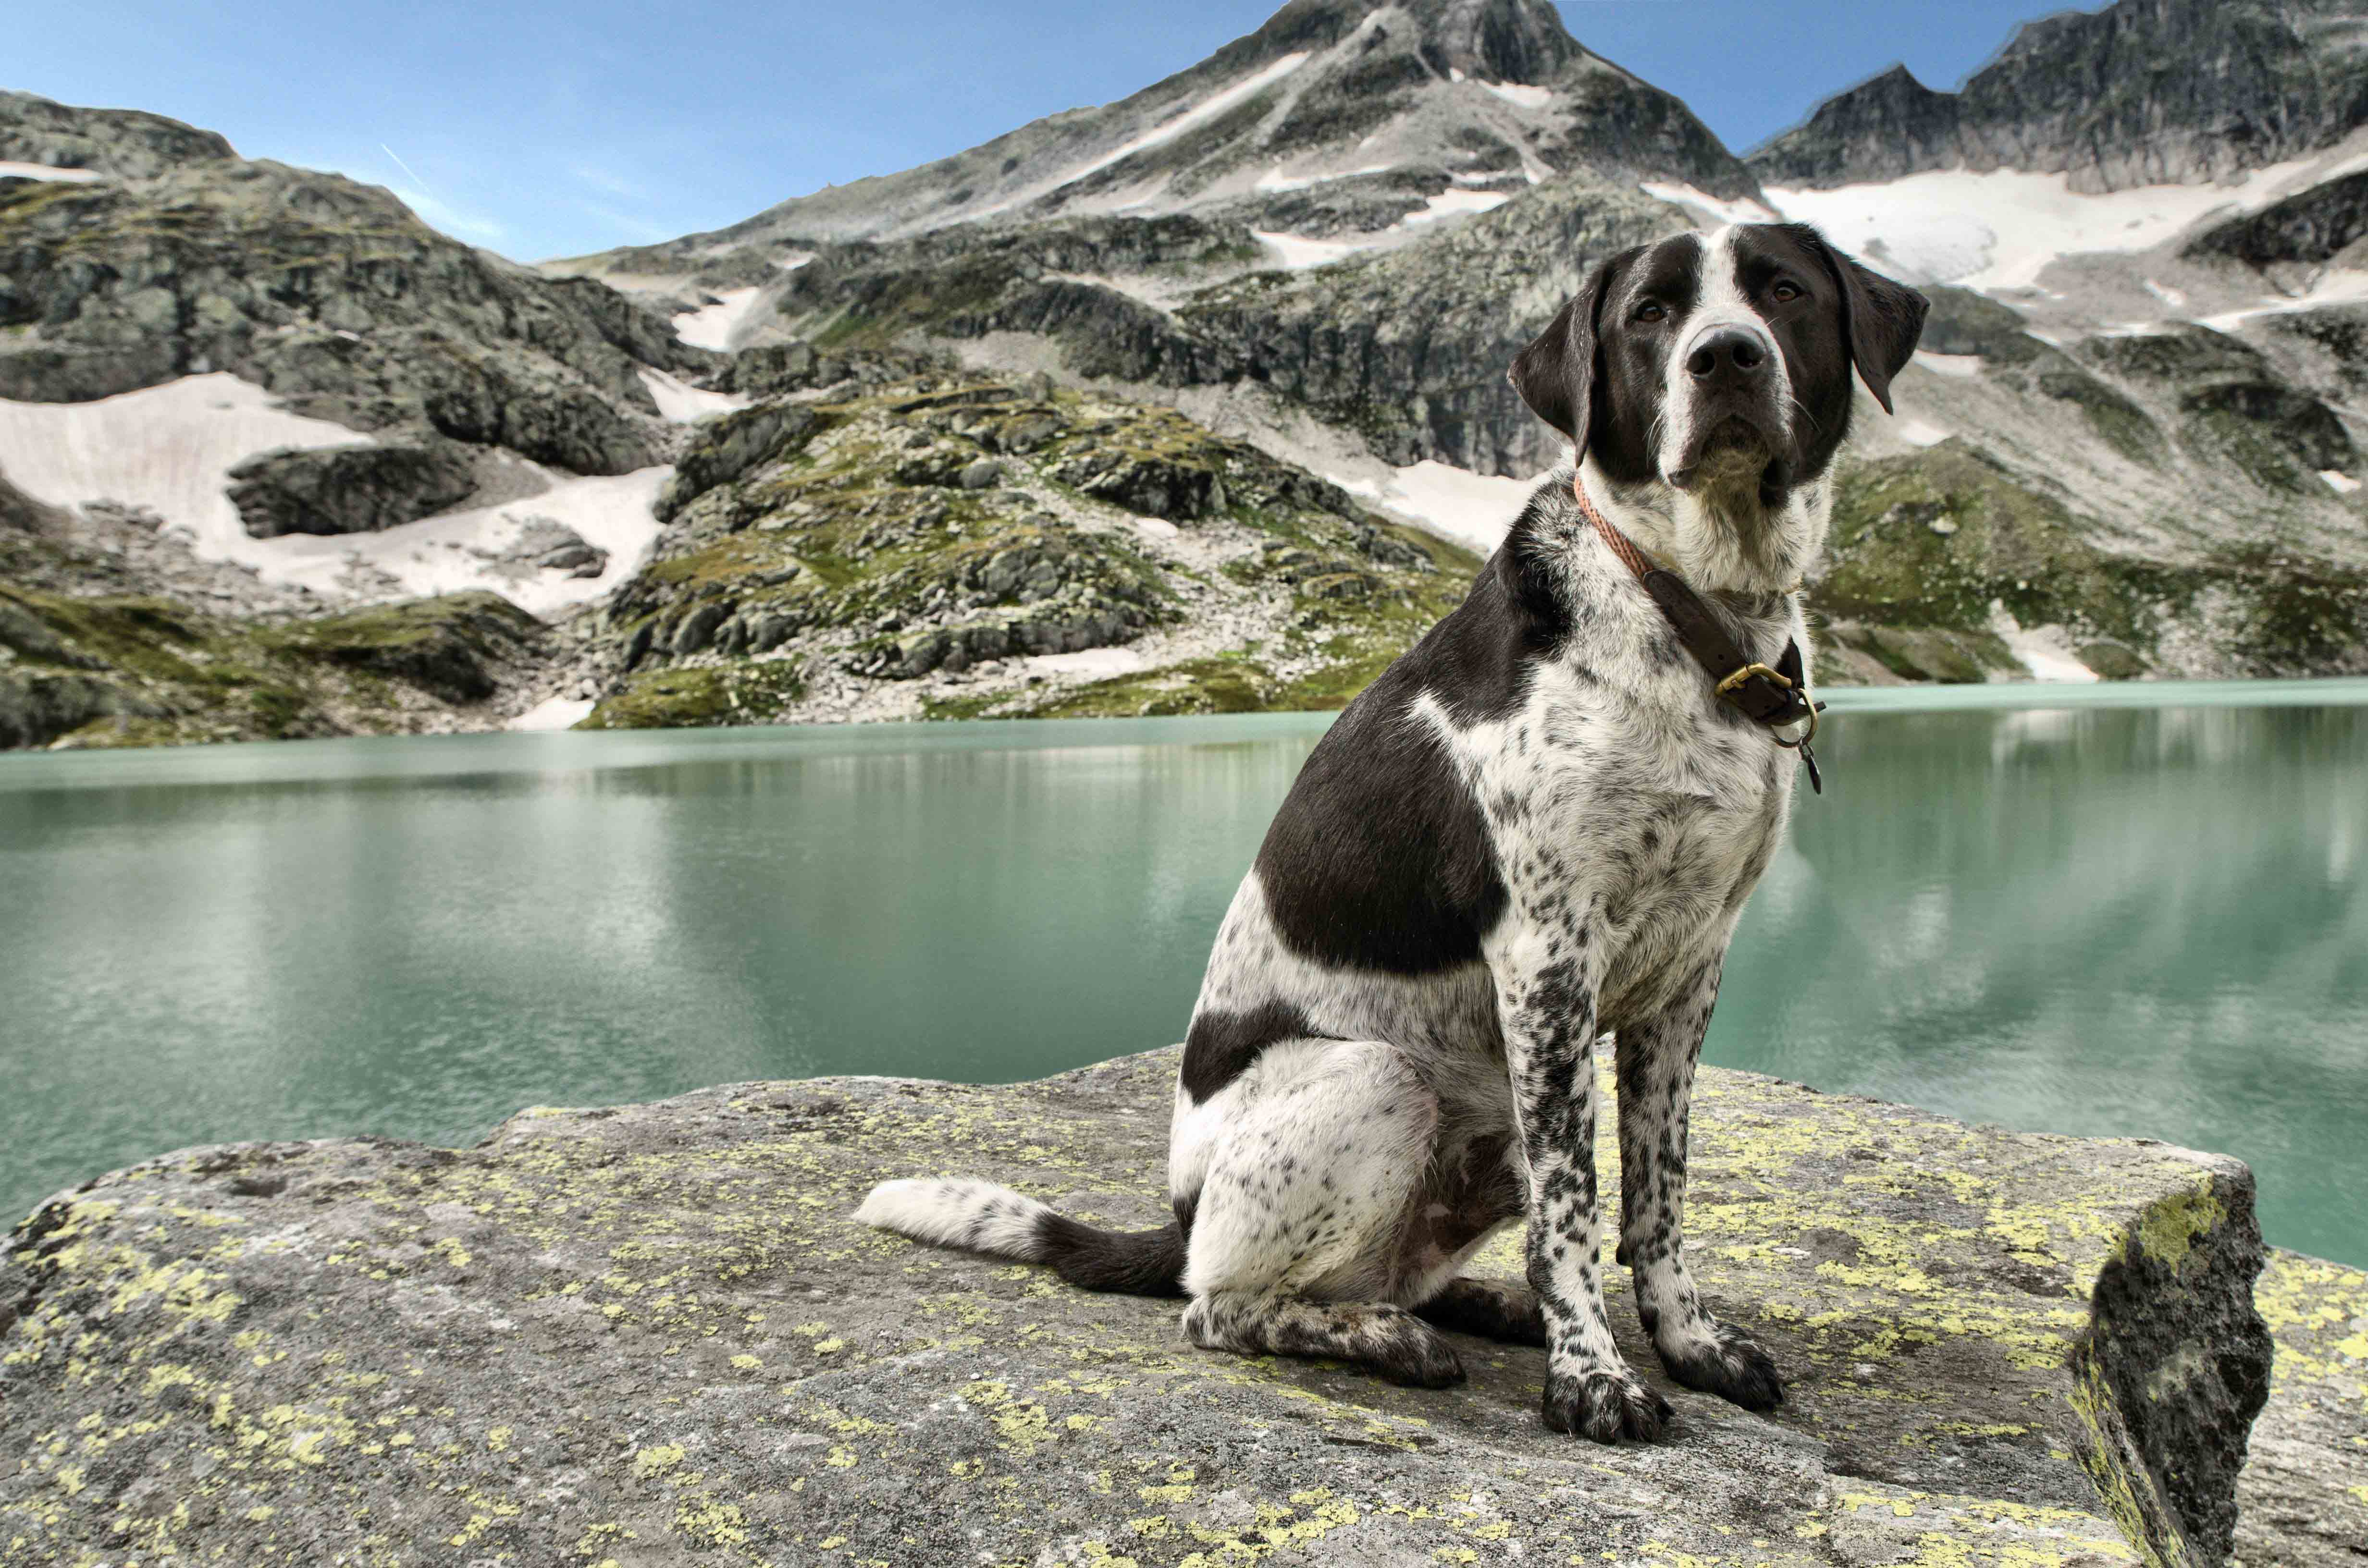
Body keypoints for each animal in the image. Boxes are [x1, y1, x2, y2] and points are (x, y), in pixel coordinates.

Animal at [862, 223, 1932, 1449]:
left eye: (1785, 292)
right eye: (1651, 314)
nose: (1726, 358)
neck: (1688, 611)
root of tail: (1176, 1215)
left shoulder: (1690, 973)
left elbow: (1655, 1195)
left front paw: (1688, 1342)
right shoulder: (1548, 963)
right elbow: (1577, 1213)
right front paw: (1593, 1376)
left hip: (1487, 1126)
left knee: (1393, 1268)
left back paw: (1475, 1304)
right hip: (1385, 1081)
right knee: (1221, 1305)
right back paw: (1384, 1337)